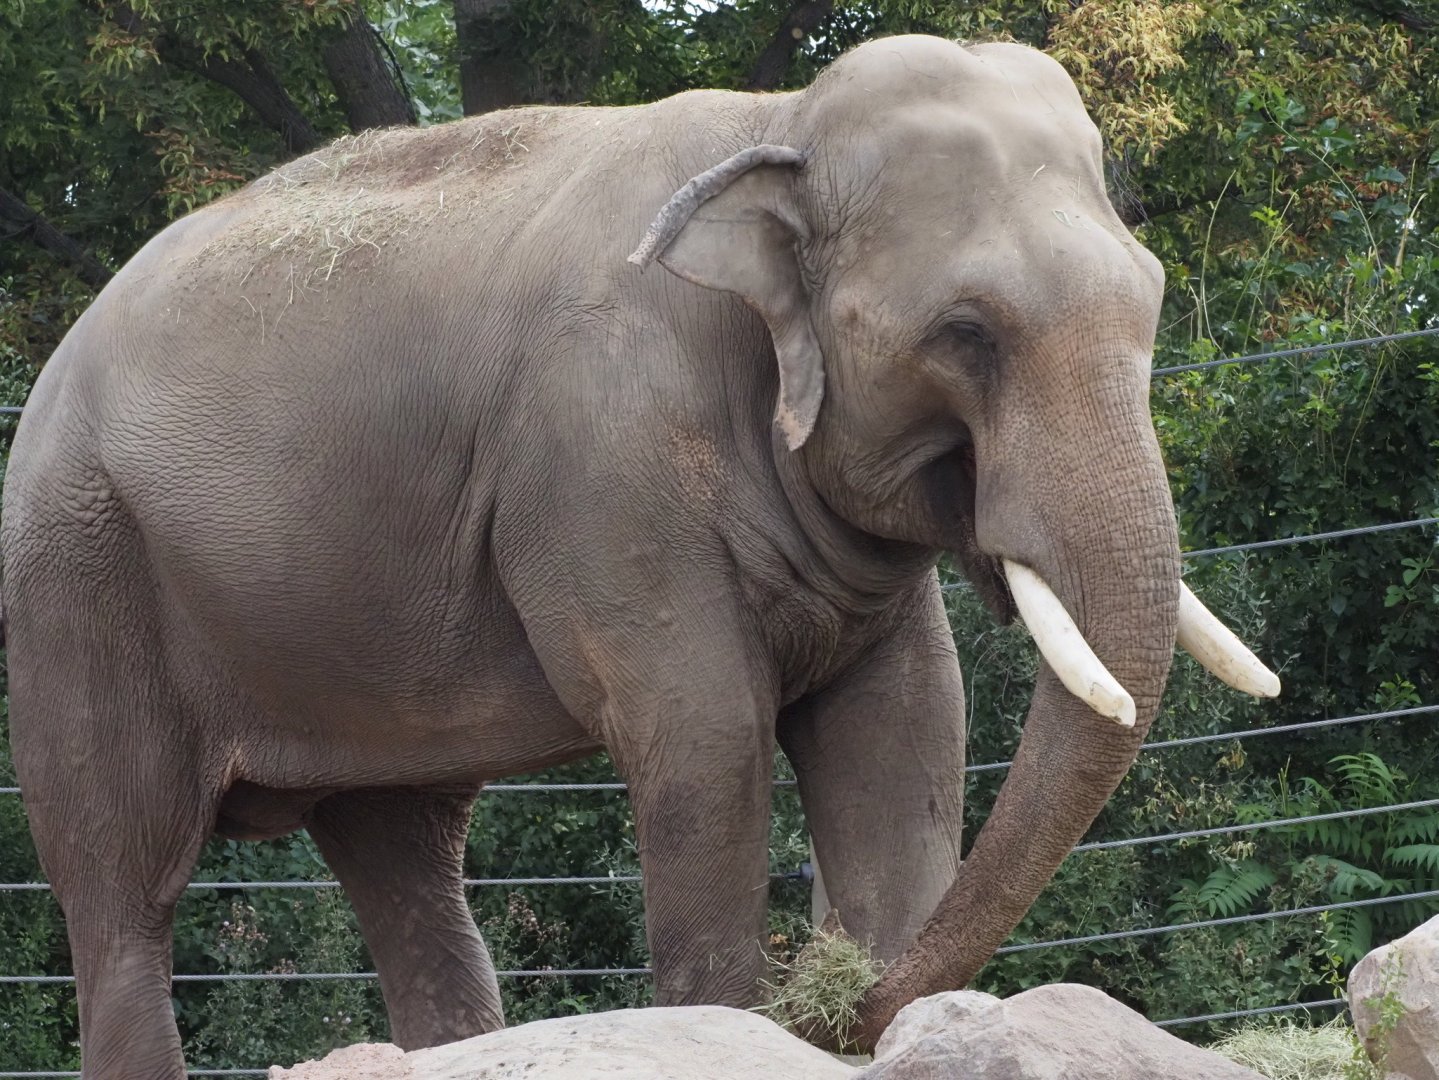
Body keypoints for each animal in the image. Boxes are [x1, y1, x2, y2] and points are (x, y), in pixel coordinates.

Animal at [0, 34, 1278, 1077]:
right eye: (965, 334)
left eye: (1151, 298)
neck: (780, 121)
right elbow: (704, 730)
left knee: (403, 851)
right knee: (122, 889)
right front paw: (739, 1020)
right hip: (76, 575)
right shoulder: (599, 460)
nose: (838, 1011)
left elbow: (907, 725)